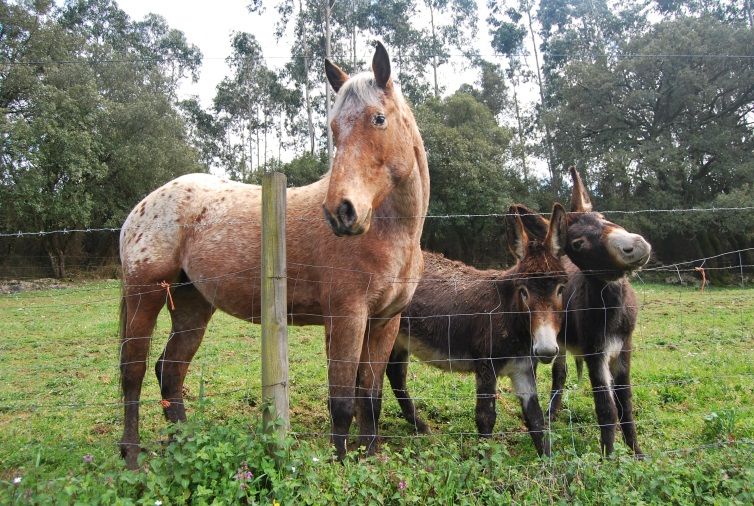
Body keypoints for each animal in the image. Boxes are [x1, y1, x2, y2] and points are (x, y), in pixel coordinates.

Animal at [120, 41, 432, 468]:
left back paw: (184, 444)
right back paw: (132, 456)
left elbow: (370, 395)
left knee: (170, 370)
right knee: (133, 373)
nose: (341, 212)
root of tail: (143, 207)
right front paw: (339, 463)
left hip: (192, 304)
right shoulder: (347, 316)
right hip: (145, 295)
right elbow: (342, 400)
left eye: (378, 119)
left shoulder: (385, 321)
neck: (390, 233)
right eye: (334, 128)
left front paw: (369, 455)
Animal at [384, 204, 568, 456]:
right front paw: (484, 461)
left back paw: (419, 425)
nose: (547, 350)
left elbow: (536, 420)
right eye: (523, 291)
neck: (509, 315)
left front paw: (547, 462)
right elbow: (486, 417)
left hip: (400, 340)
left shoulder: (523, 369)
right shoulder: (486, 366)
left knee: (395, 375)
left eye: (560, 289)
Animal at [516, 167, 648, 458]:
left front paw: (636, 453)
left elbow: (626, 405)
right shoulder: (594, 351)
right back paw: (548, 417)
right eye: (577, 243)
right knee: (552, 376)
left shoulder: (625, 346)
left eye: (602, 217)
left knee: (560, 374)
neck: (611, 307)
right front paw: (608, 457)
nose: (637, 246)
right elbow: (607, 408)